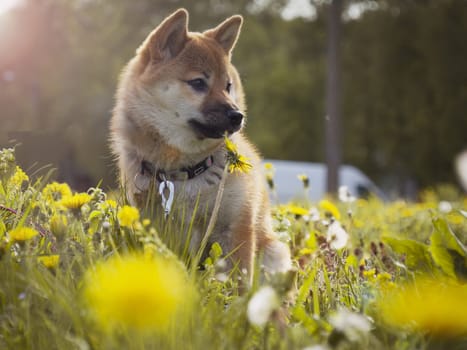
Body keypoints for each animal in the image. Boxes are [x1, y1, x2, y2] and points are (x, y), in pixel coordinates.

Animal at [111, 8, 290, 282]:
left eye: (228, 85)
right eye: (198, 83)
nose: (237, 115)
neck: (185, 170)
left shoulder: (236, 227)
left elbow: (239, 280)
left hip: (274, 251)